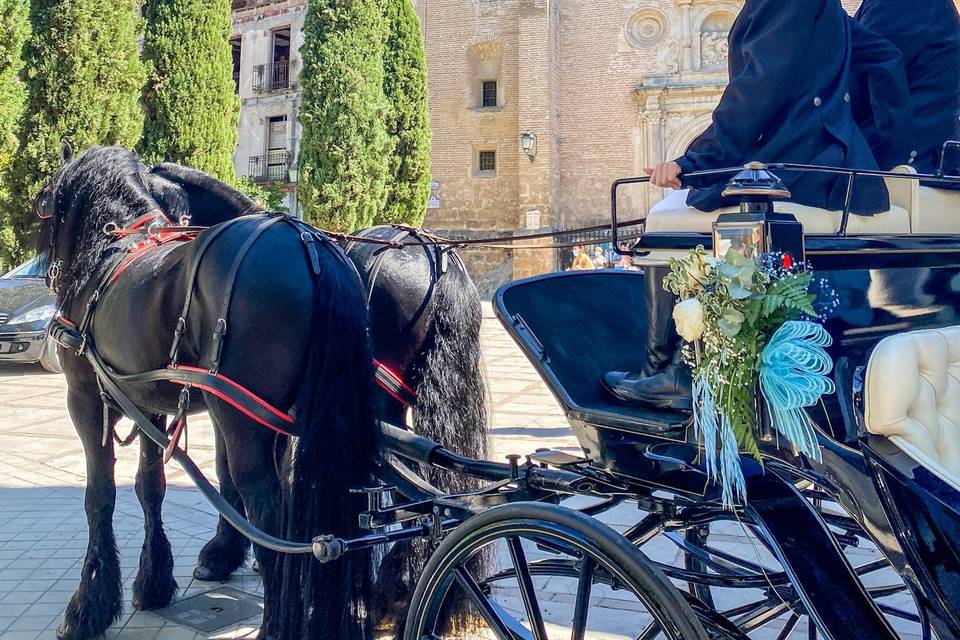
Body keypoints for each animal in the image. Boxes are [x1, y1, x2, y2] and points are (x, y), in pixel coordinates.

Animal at [37, 145, 376, 640]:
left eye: (45, 204)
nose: (51, 277)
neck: (112, 252)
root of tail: (311, 246)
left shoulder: (84, 399)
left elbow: (100, 494)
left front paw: (87, 607)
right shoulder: (148, 404)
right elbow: (150, 486)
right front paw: (154, 581)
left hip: (243, 419)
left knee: (268, 512)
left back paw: (277, 622)